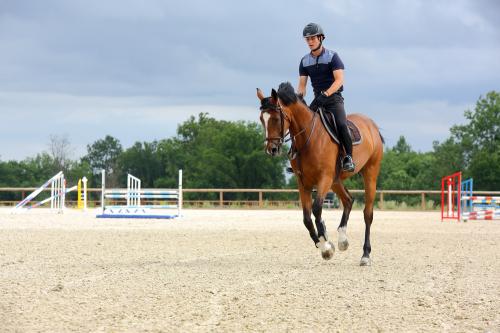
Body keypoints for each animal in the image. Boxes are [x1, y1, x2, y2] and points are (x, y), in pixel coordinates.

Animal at [256, 82, 384, 264]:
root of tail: (371, 124)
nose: (271, 149)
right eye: (262, 119)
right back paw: (342, 240)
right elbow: (307, 218)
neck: (308, 138)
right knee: (348, 200)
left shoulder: (324, 178)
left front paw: (325, 242)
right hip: (336, 180)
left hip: (369, 173)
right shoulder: (304, 183)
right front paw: (324, 246)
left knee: (368, 214)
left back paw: (365, 255)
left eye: (275, 118)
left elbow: (316, 209)